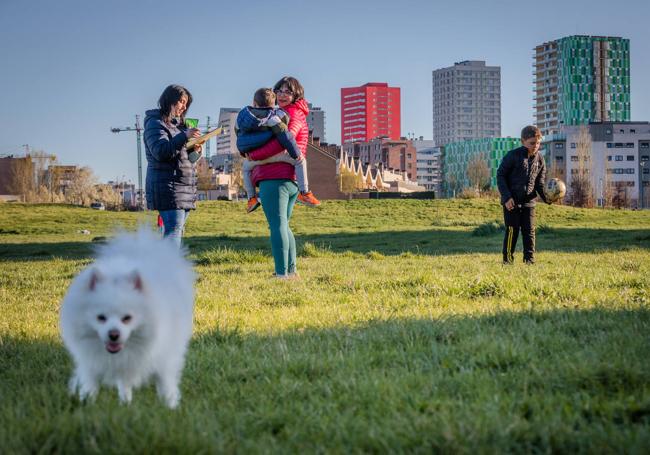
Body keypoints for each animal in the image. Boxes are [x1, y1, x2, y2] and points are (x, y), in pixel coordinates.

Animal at [59, 230, 194, 412]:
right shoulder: (92, 364)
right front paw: (89, 404)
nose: (113, 334)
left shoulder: (164, 357)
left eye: (127, 318)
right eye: (101, 318)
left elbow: (166, 385)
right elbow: (92, 386)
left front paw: (170, 408)